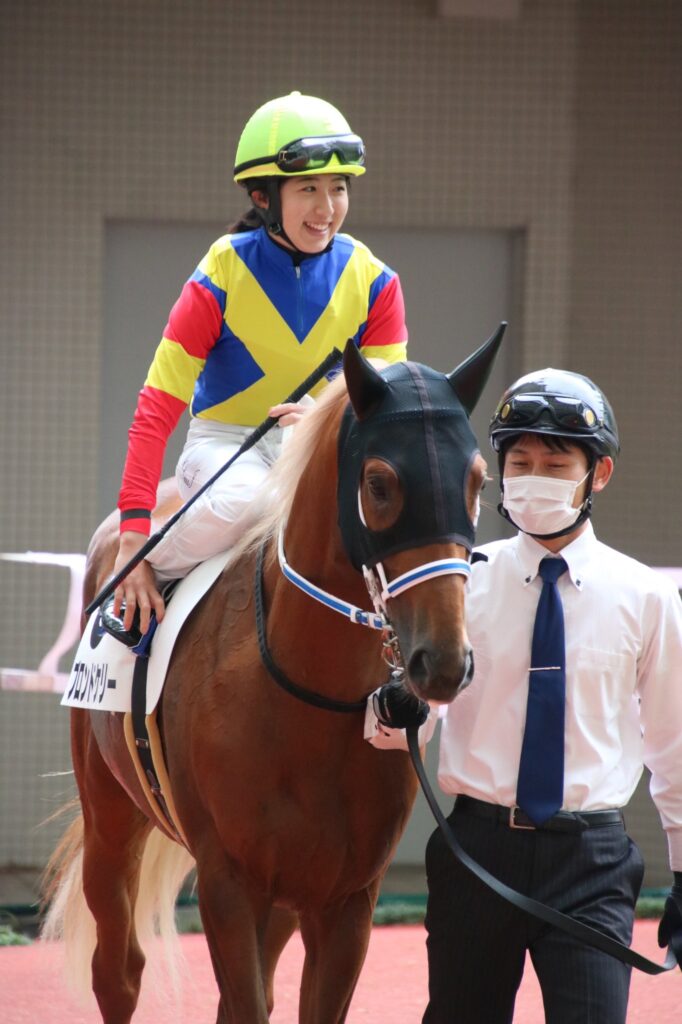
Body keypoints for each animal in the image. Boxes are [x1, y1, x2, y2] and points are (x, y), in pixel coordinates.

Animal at [41, 329, 499, 1024]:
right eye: (379, 482)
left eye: (476, 480)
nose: (443, 659)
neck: (309, 701)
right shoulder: (229, 883)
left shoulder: (346, 900)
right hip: (110, 817)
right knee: (118, 973)